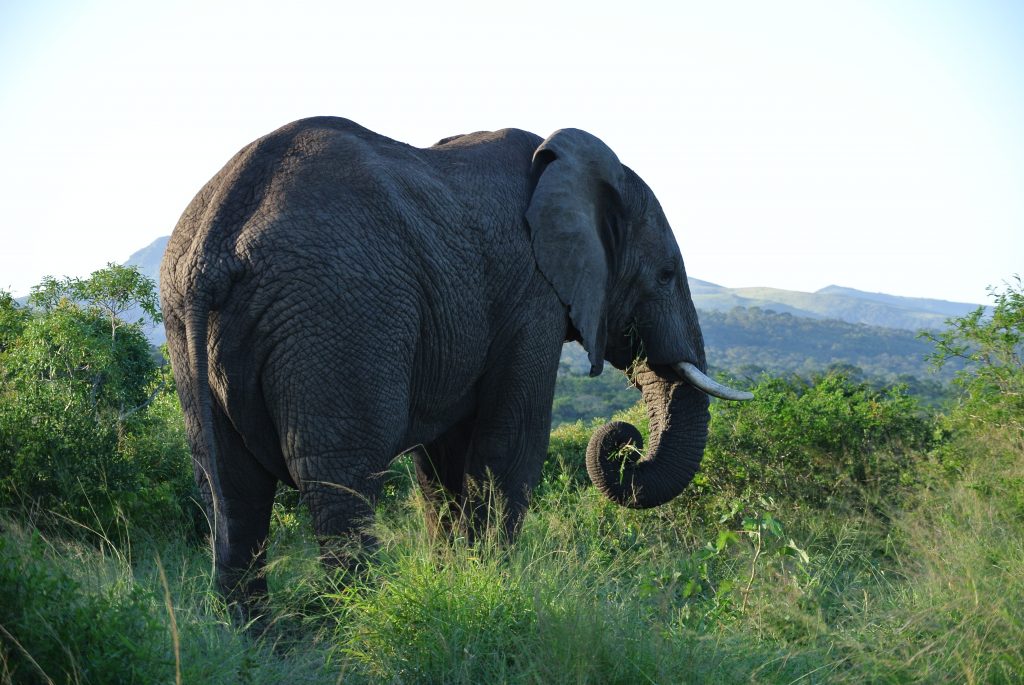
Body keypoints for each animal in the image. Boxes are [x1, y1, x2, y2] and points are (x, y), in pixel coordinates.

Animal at [159, 117, 753, 614]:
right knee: (340, 477)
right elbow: (511, 447)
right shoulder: (530, 294)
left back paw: (257, 639)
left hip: (188, 323)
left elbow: (441, 465)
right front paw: (497, 586)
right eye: (667, 275)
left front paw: (458, 583)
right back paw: (354, 624)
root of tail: (217, 242)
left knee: (229, 488)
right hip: (336, 313)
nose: (623, 440)